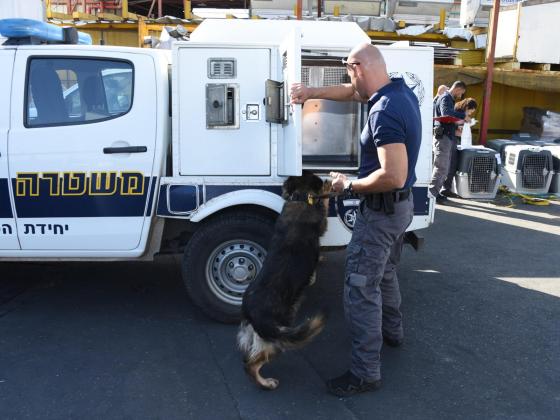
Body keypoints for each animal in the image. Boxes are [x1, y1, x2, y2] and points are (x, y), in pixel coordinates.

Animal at [237, 171, 332, 390]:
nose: (327, 179)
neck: (299, 196)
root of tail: (251, 313)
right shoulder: (321, 223)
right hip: (277, 340)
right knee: (252, 365)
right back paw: (266, 383)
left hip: (260, 336)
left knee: (248, 359)